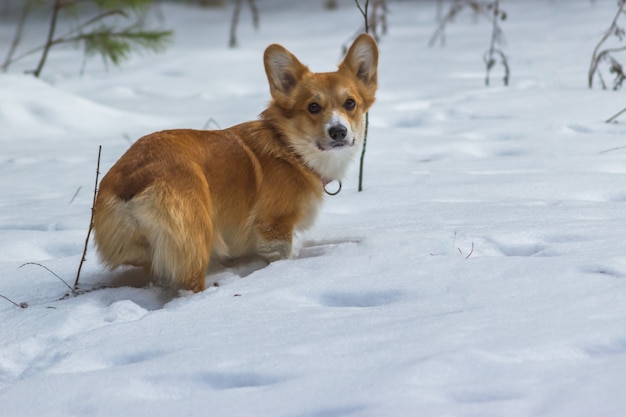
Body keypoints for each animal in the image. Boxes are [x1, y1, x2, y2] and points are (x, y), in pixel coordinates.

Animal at [91, 33, 376, 292]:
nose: (338, 132)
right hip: (196, 241)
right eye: (313, 107)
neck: (292, 149)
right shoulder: (274, 229)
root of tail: (133, 177)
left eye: (350, 103)